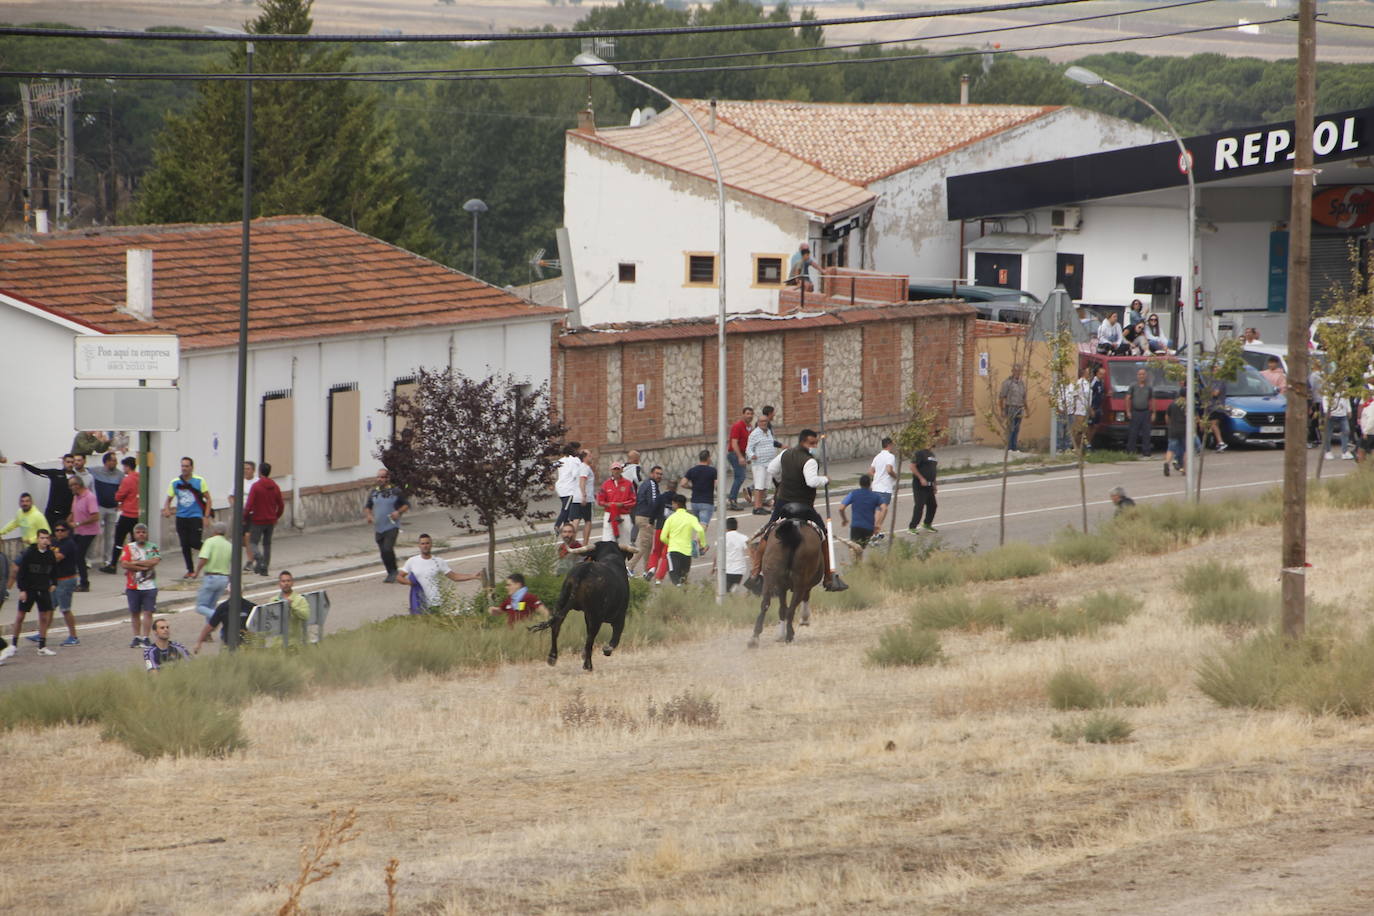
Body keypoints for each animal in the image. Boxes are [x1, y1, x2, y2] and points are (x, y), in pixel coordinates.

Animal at [527, 541, 634, 670]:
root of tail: (583, 572)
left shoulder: (587, 615)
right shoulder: (619, 616)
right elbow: (616, 637)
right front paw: (606, 650)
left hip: (562, 601)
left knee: (556, 625)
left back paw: (552, 657)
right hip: (596, 616)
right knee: (591, 637)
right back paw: (588, 665)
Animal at [747, 519, 818, 648]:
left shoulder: (780, 587)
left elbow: (782, 609)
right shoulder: (795, 586)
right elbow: (788, 607)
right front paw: (804, 619)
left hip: (771, 579)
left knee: (765, 604)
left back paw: (754, 638)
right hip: (799, 583)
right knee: (792, 608)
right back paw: (789, 635)